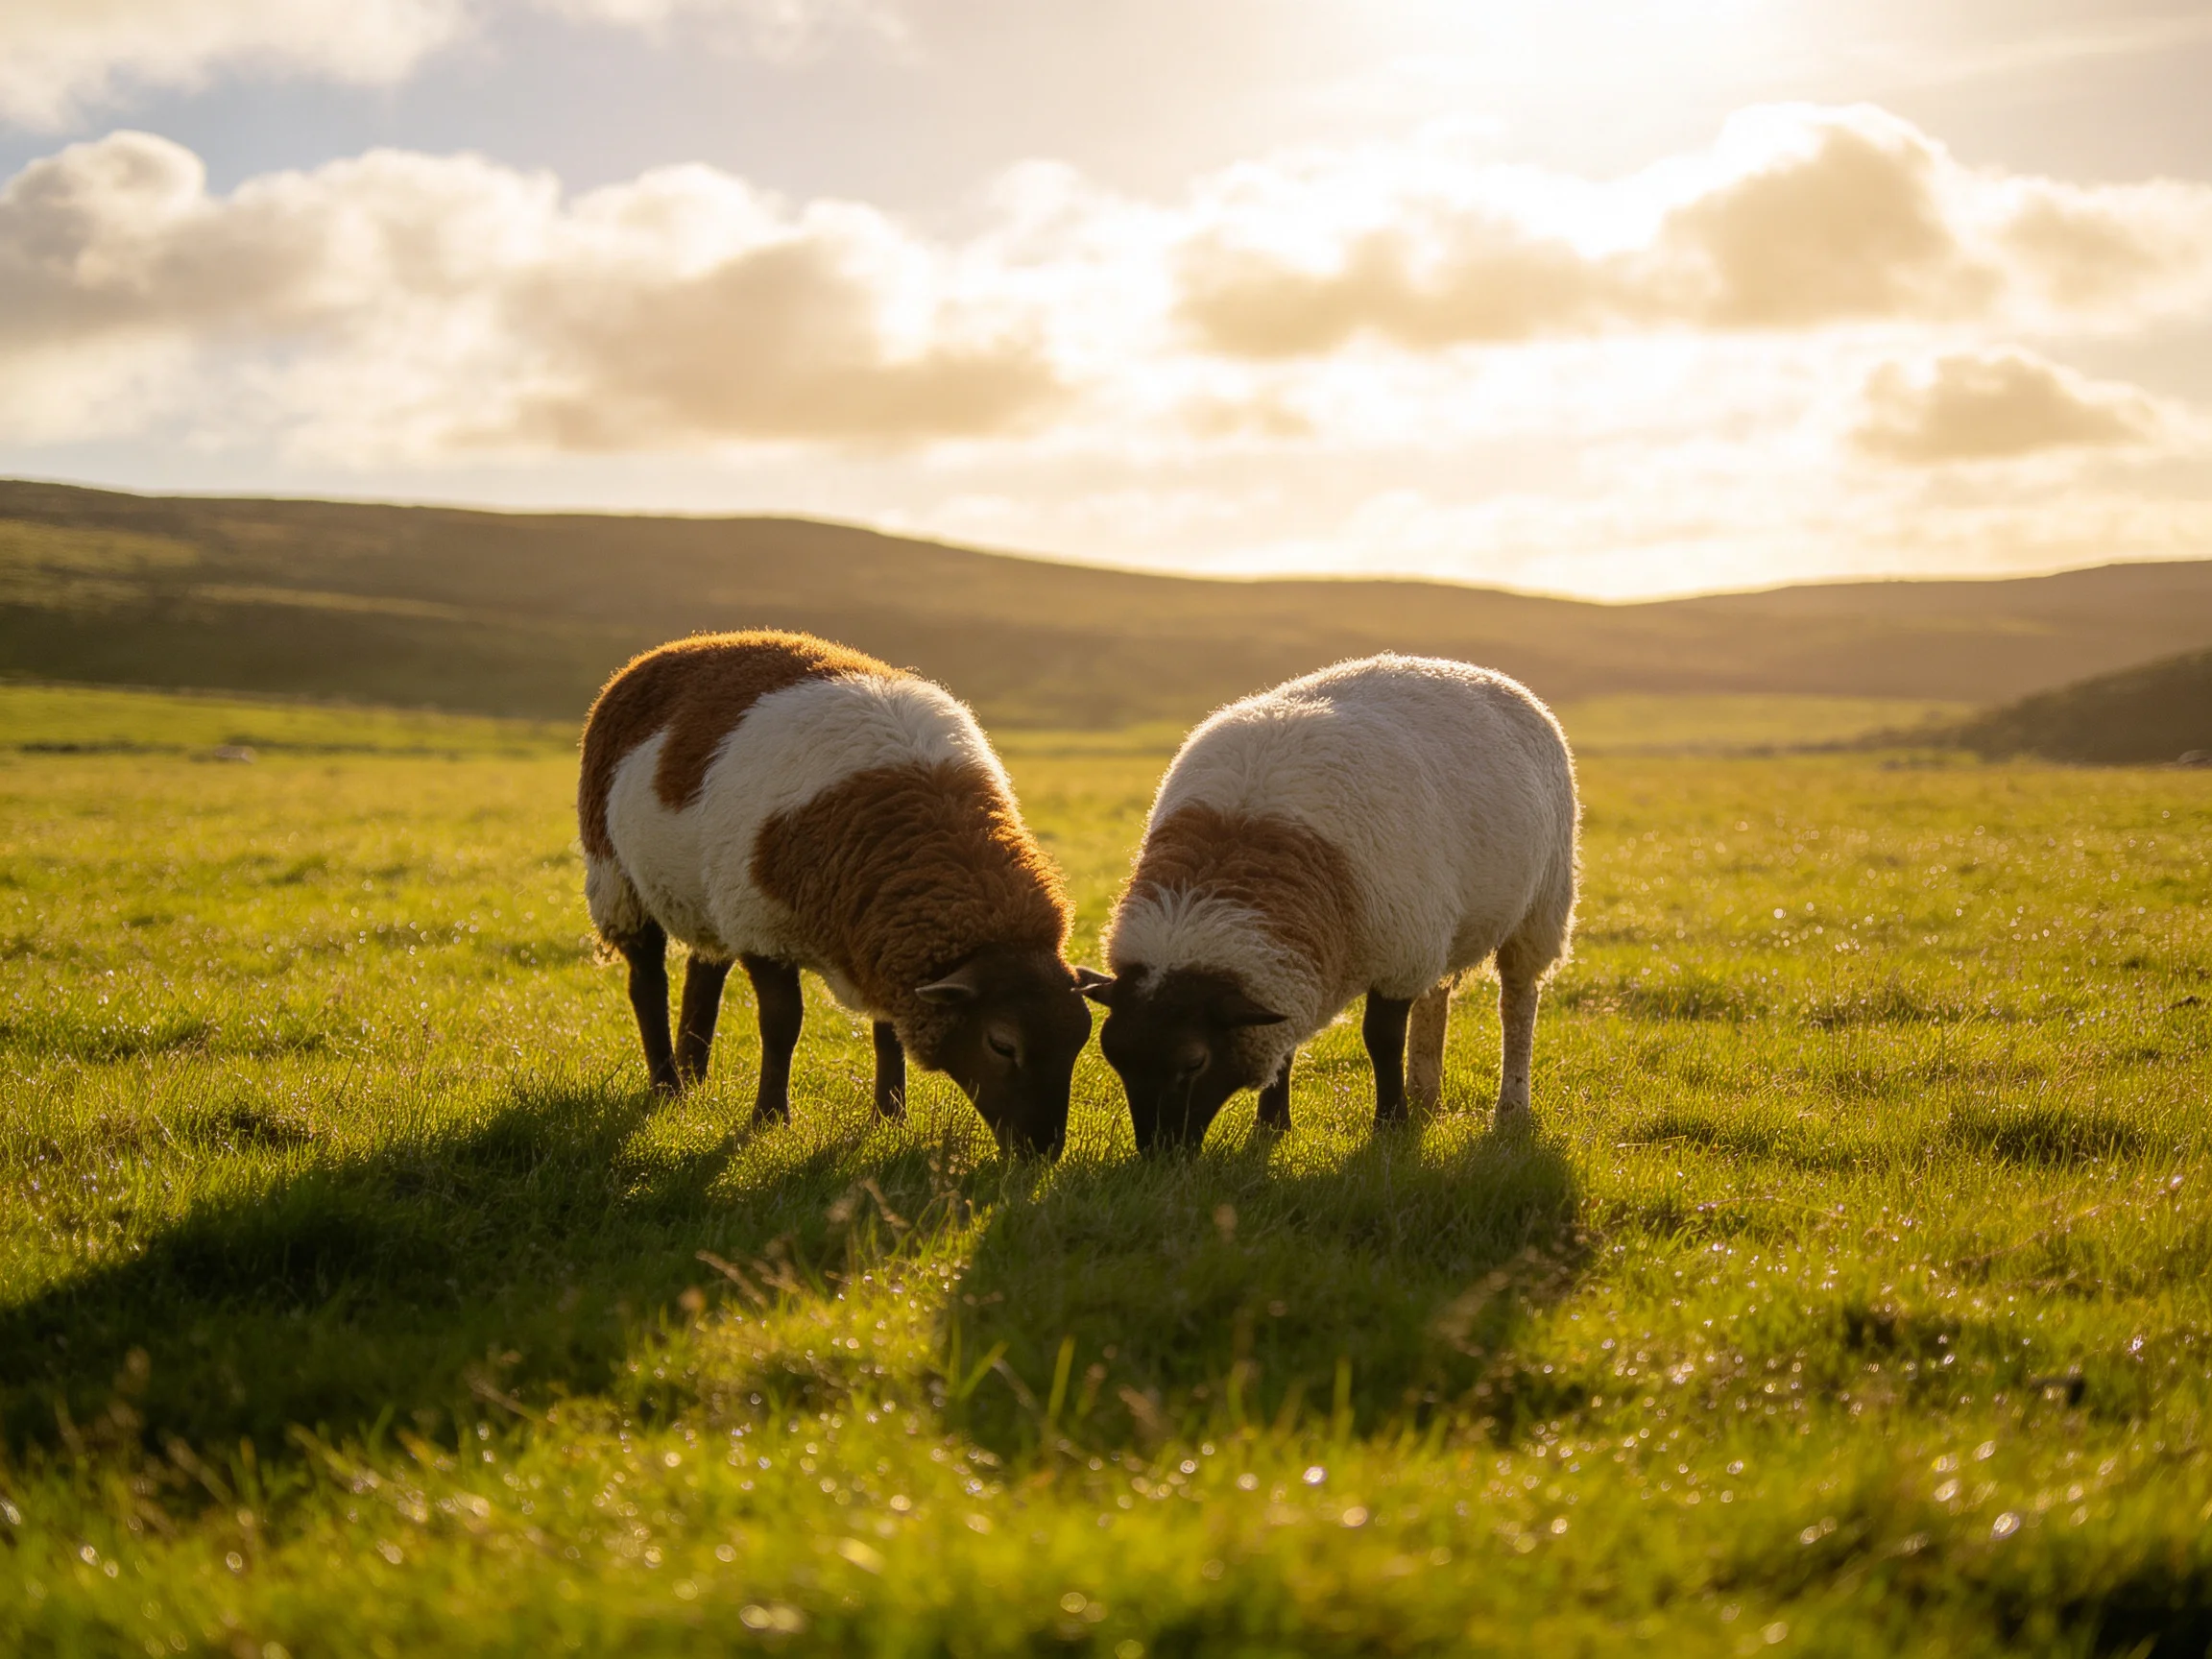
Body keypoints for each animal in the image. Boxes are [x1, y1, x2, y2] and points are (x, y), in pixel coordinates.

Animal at [578, 630, 1101, 1156]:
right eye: (1001, 1045)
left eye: (1081, 1039)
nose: (1041, 1151)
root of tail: (676, 647)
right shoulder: (761, 925)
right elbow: (782, 1024)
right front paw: (771, 1119)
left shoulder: (881, 939)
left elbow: (888, 1033)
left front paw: (889, 1119)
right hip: (617, 877)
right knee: (647, 982)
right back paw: (667, 1086)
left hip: (705, 894)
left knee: (704, 972)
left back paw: (693, 1078)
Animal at [1083, 653, 1578, 1152]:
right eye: (1115, 1058)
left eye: (1194, 1063)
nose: (1160, 1154)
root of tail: (1478, 671)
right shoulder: (1299, 959)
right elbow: (1285, 1043)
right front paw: (1272, 1126)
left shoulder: (1400, 952)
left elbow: (1381, 1040)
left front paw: (1390, 1124)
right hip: (1446, 924)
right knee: (1436, 997)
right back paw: (1425, 1094)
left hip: (1540, 908)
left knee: (1517, 1004)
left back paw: (1510, 1107)